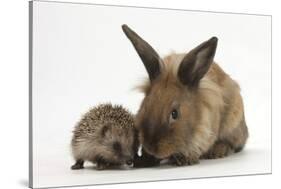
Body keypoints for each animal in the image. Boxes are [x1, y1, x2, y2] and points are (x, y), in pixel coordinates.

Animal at [121, 24, 248, 166]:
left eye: (175, 114)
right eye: (144, 107)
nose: (151, 147)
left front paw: (185, 159)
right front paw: (146, 158)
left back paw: (217, 151)